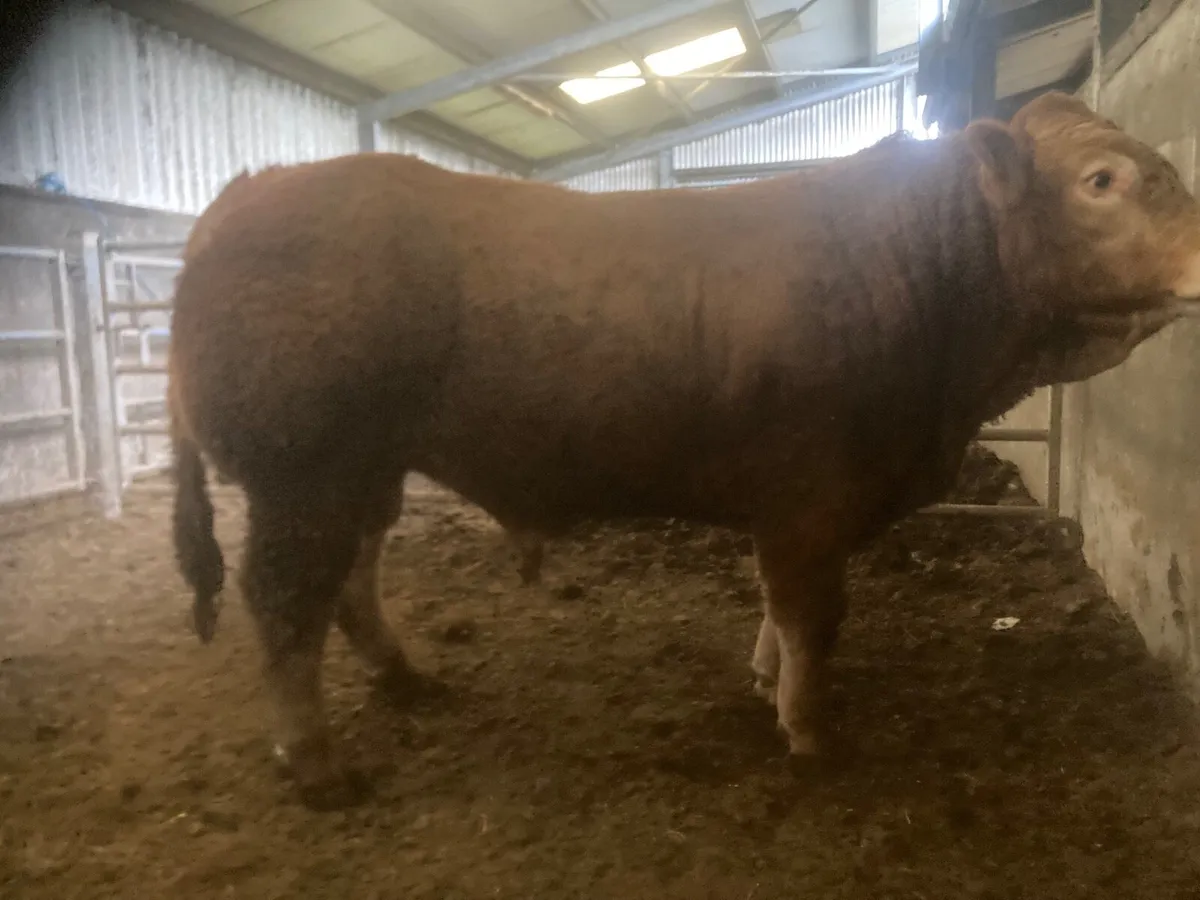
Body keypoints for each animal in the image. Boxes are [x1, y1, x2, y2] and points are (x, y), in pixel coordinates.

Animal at [167, 91, 1200, 808]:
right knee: (287, 604)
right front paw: (811, 734)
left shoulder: (796, 505)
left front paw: (765, 683)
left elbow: (780, 612)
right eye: (1102, 179)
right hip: (301, 471)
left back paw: (405, 680)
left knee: (352, 577)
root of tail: (255, 187)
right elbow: (813, 616)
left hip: (363, 468)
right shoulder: (811, 497)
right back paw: (316, 765)